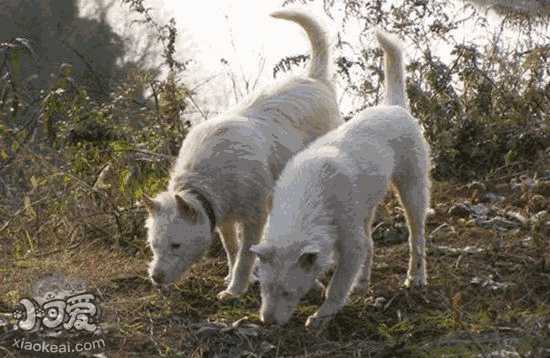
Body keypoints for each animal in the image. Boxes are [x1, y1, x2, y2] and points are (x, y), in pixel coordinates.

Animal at [141, 9, 344, 300]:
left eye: (176, 245)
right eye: (154, 245)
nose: (155, 278)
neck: (204, 178)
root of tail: (315, 79)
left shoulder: (253, 219)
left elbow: (246, 256)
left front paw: (235, 289)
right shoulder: (224, 219)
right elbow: (232, 250)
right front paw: (235, 278)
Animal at [252, 30, 434, 328]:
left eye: (288, 292)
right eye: (263, 288)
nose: (267, 322)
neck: (308, 197)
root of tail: (394, 106)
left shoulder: (350, 245)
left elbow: (338, 286)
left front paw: (321, 316)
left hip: (413, 190)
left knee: (416, 238)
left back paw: (416, 277)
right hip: (367, 208)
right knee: (372, 244)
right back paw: (362, 283)